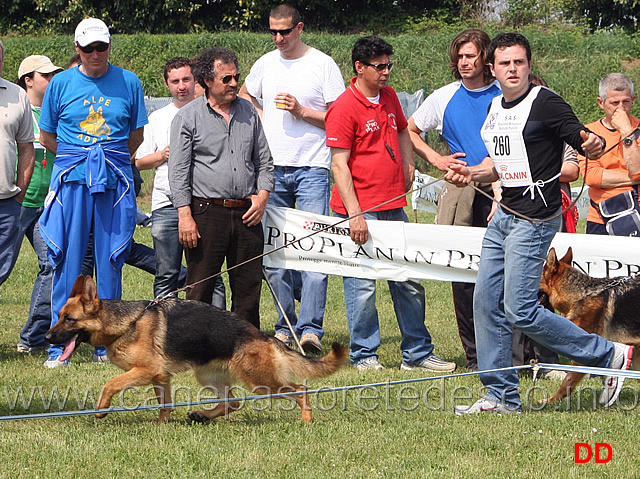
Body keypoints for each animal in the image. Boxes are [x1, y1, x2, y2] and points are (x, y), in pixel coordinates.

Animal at [45, 278, 348, 424]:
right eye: (58, 316)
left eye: (69, 319)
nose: (47, 337)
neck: (126, 322)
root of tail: (261, 334)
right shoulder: (161, 377)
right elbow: (165, 405)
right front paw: (161, 426)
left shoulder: (146, 371)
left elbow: (110, 384)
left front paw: (100, 411)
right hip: (208, 376)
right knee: (233, 402)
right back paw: (201, 415)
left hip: (261, 383)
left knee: (300, 389)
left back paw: (307, 419)